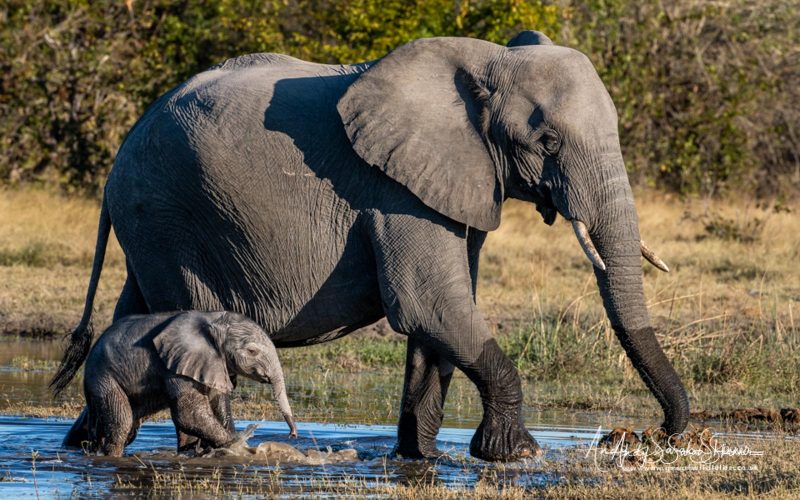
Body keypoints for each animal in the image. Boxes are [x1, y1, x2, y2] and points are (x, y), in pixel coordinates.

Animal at [65, 310, 296, 456]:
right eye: (252, 351)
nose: (292, 434)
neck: (213, 320)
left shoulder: (212, 363)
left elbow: (218, 405)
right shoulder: (176, 363)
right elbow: (189, 413)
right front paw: (238, 446)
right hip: (103, 377)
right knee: (122, 424)